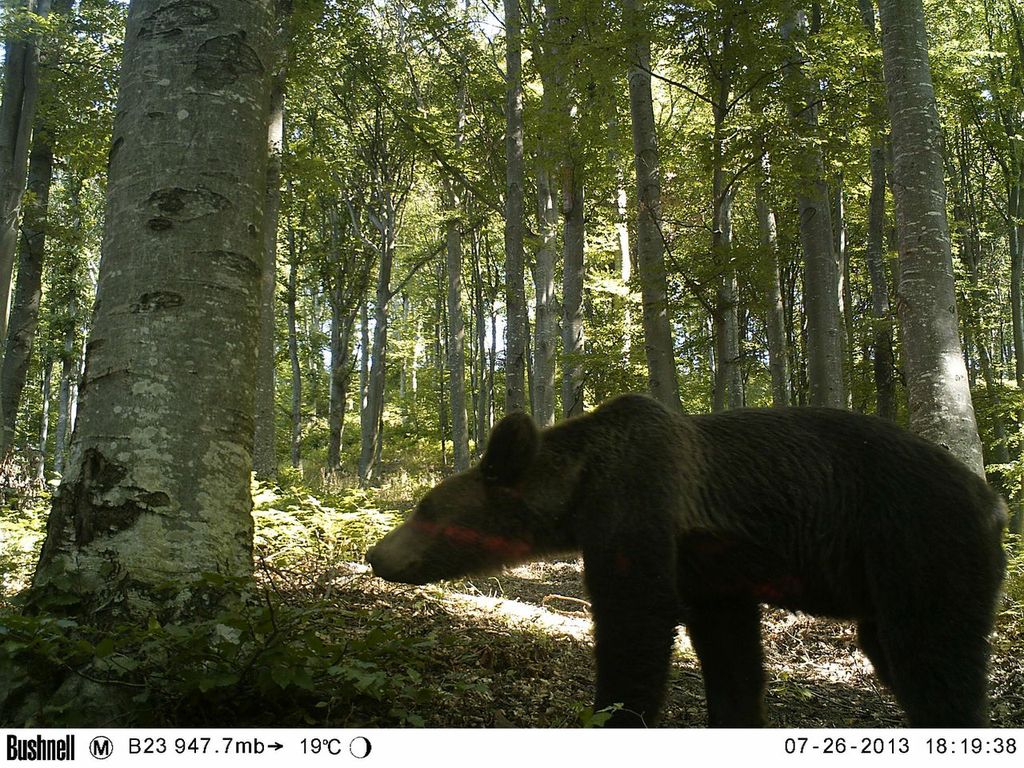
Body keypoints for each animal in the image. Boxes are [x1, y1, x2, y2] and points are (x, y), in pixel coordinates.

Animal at [364, 397, 1003, 729]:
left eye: (425, 509)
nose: (375, 555)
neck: (581, 489)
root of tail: (992, 499)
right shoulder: (712, 570)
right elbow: (730, 656)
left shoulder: (639, 505)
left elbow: (636, 626)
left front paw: (616, 714)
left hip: (920, 543)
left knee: (934, 655)